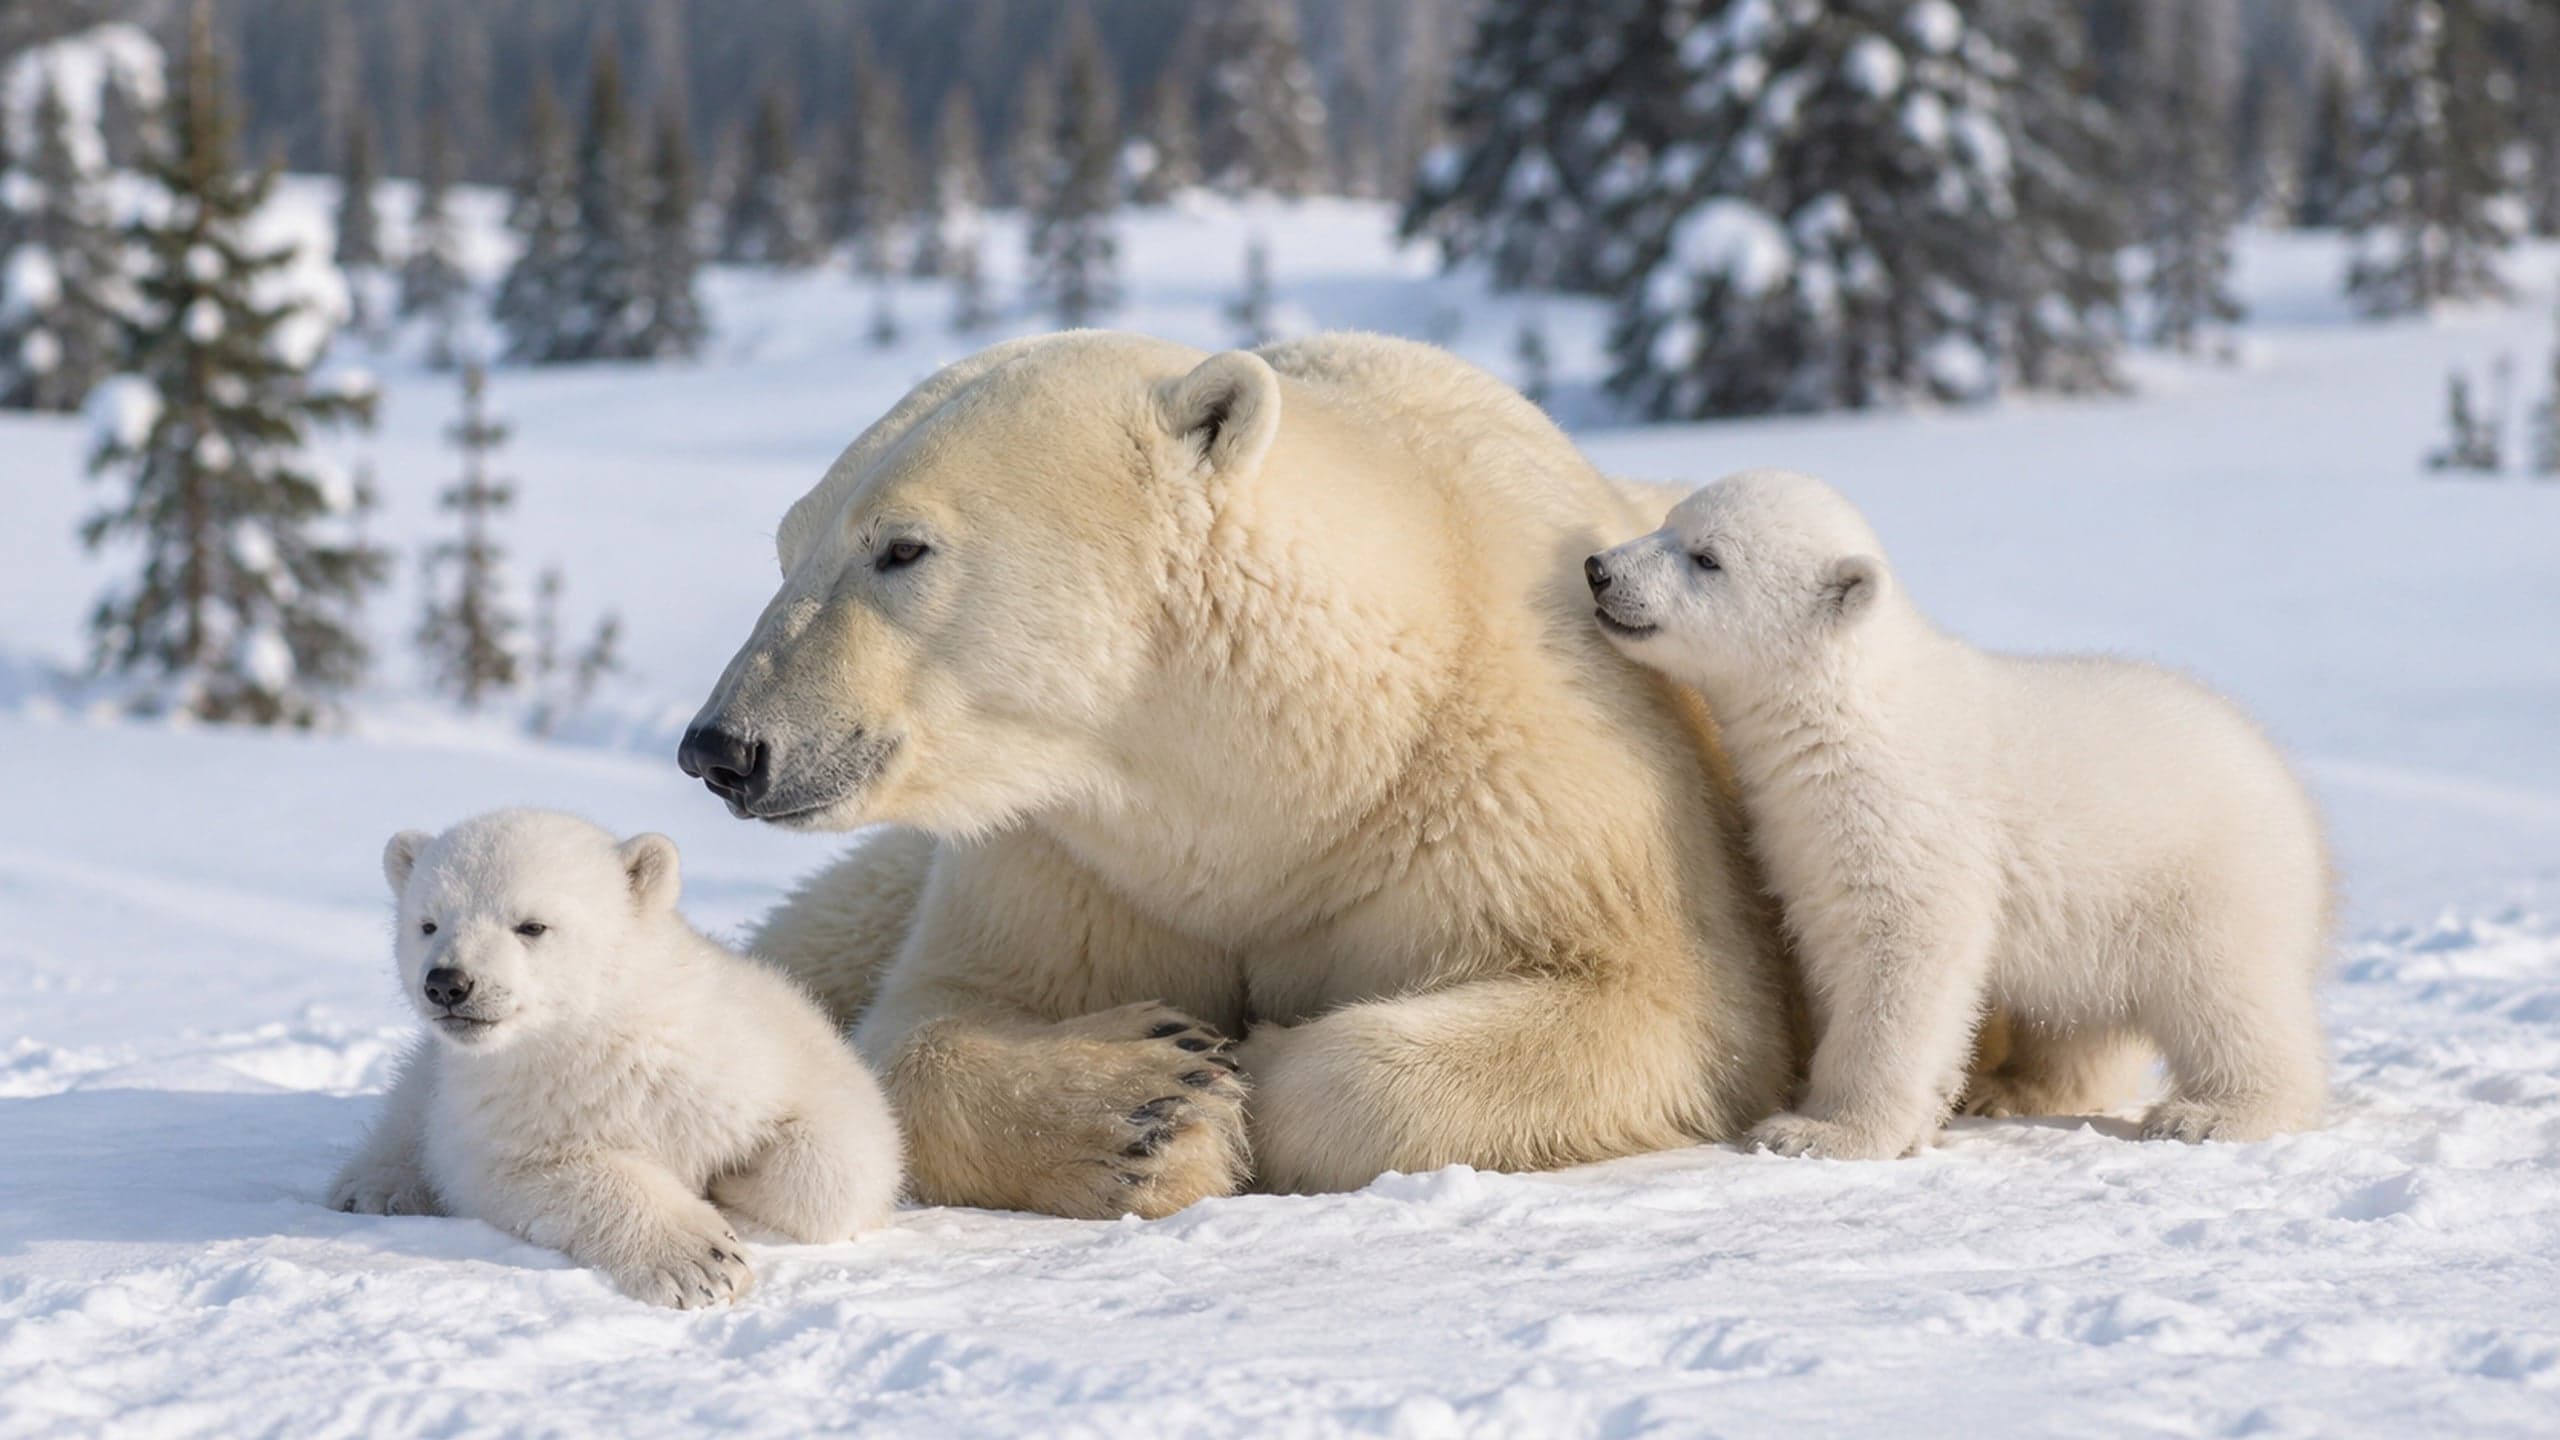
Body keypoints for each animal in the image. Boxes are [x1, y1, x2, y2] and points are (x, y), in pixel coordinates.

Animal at [327, 809, 903, 1307]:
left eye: (531, 925)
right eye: (428, 923)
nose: (448, 983)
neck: (606, 1036)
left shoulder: (754, 1052)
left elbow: (844, 1151)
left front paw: (733, 1179)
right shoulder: (504, 1109)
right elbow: (547, 1173)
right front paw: (703, 1261)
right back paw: (378, 1188)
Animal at [675, 330, 1799, 1219]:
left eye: (902, 548)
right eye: (787, 547)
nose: (724, 748)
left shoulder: (1530, 788)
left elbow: (1660, 1006)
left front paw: (1239, 1071)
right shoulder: (1076, 856)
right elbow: (931, 1013)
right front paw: (1144, 1102)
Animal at [1584, 469, 2333, 1159]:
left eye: (1708, 557)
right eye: (1669, 523)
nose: (1598, 570)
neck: (1851, 712)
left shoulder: (1909, 818)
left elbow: (1902, 956)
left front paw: (1820, 1131)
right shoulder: (1805, 837)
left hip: (2205, 878)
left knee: (2228, 994)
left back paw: (2214, 1113)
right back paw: (2013, 1088)